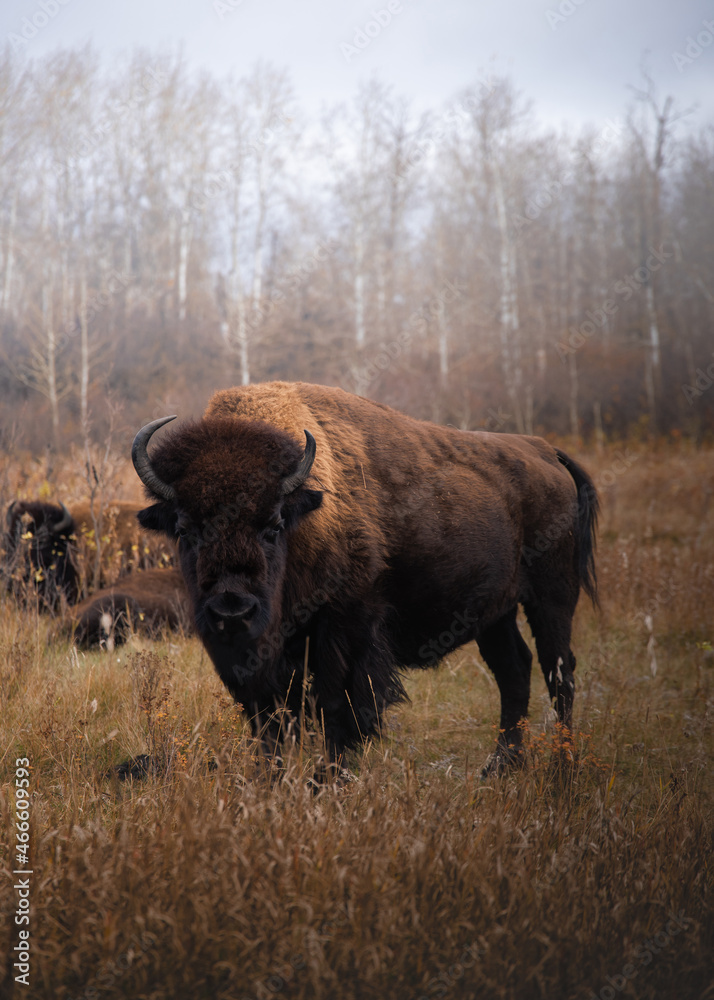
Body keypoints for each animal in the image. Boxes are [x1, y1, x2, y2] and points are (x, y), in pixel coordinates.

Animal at [132, 382, 596, 772]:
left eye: (274, 525)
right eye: (185, 528)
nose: (233, 610)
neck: (305, 514)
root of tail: (546, 452)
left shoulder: (347, 628)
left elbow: (340, 708)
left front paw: (330, 780)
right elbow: (268, 719)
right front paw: (272, 780)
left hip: (552, 598)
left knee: (560, 672)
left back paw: (562, 766)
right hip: (496, 613)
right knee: (514, 669)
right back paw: (500, 767)